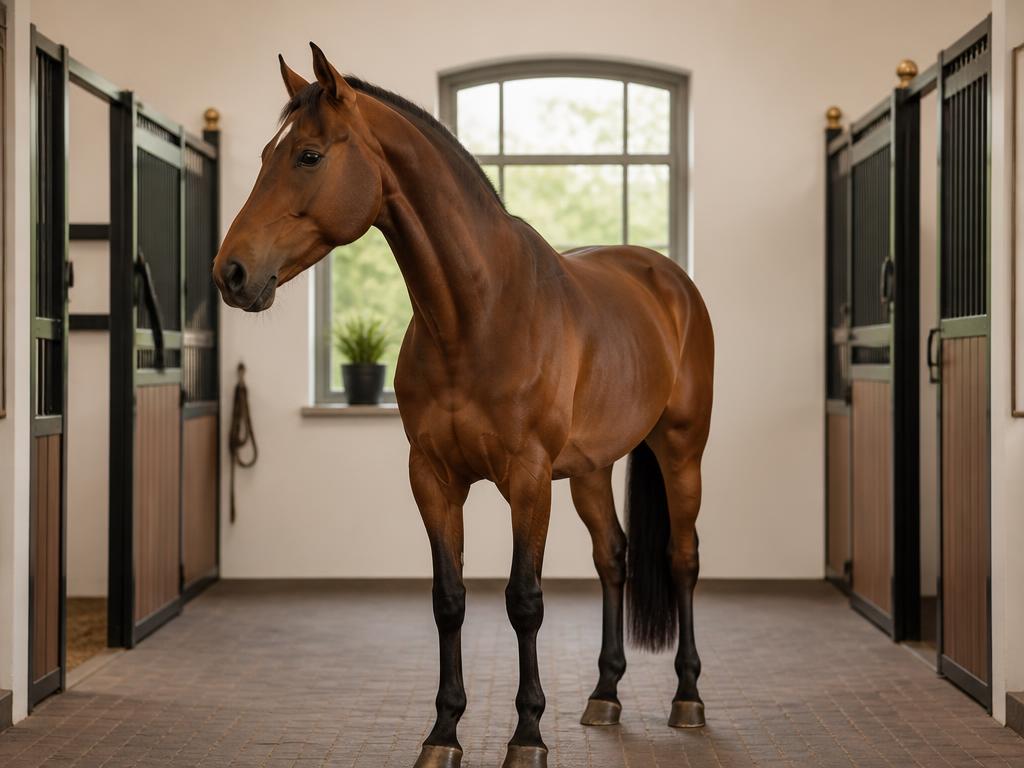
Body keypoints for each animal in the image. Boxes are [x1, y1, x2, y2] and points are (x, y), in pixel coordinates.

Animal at [213, 43, 714, 768]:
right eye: (262, 156)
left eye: (308, 155)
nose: (230, 273)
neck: (477, 313)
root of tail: (669, 280)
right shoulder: (433, 477)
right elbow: (448, 600)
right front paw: (443, 733)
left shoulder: (528, 480)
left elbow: (524, 601)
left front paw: (527, 735)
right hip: (591, 470)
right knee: (612, 558)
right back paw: (604, 695)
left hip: (681, 450)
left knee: (682, 558)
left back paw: (688, 698)